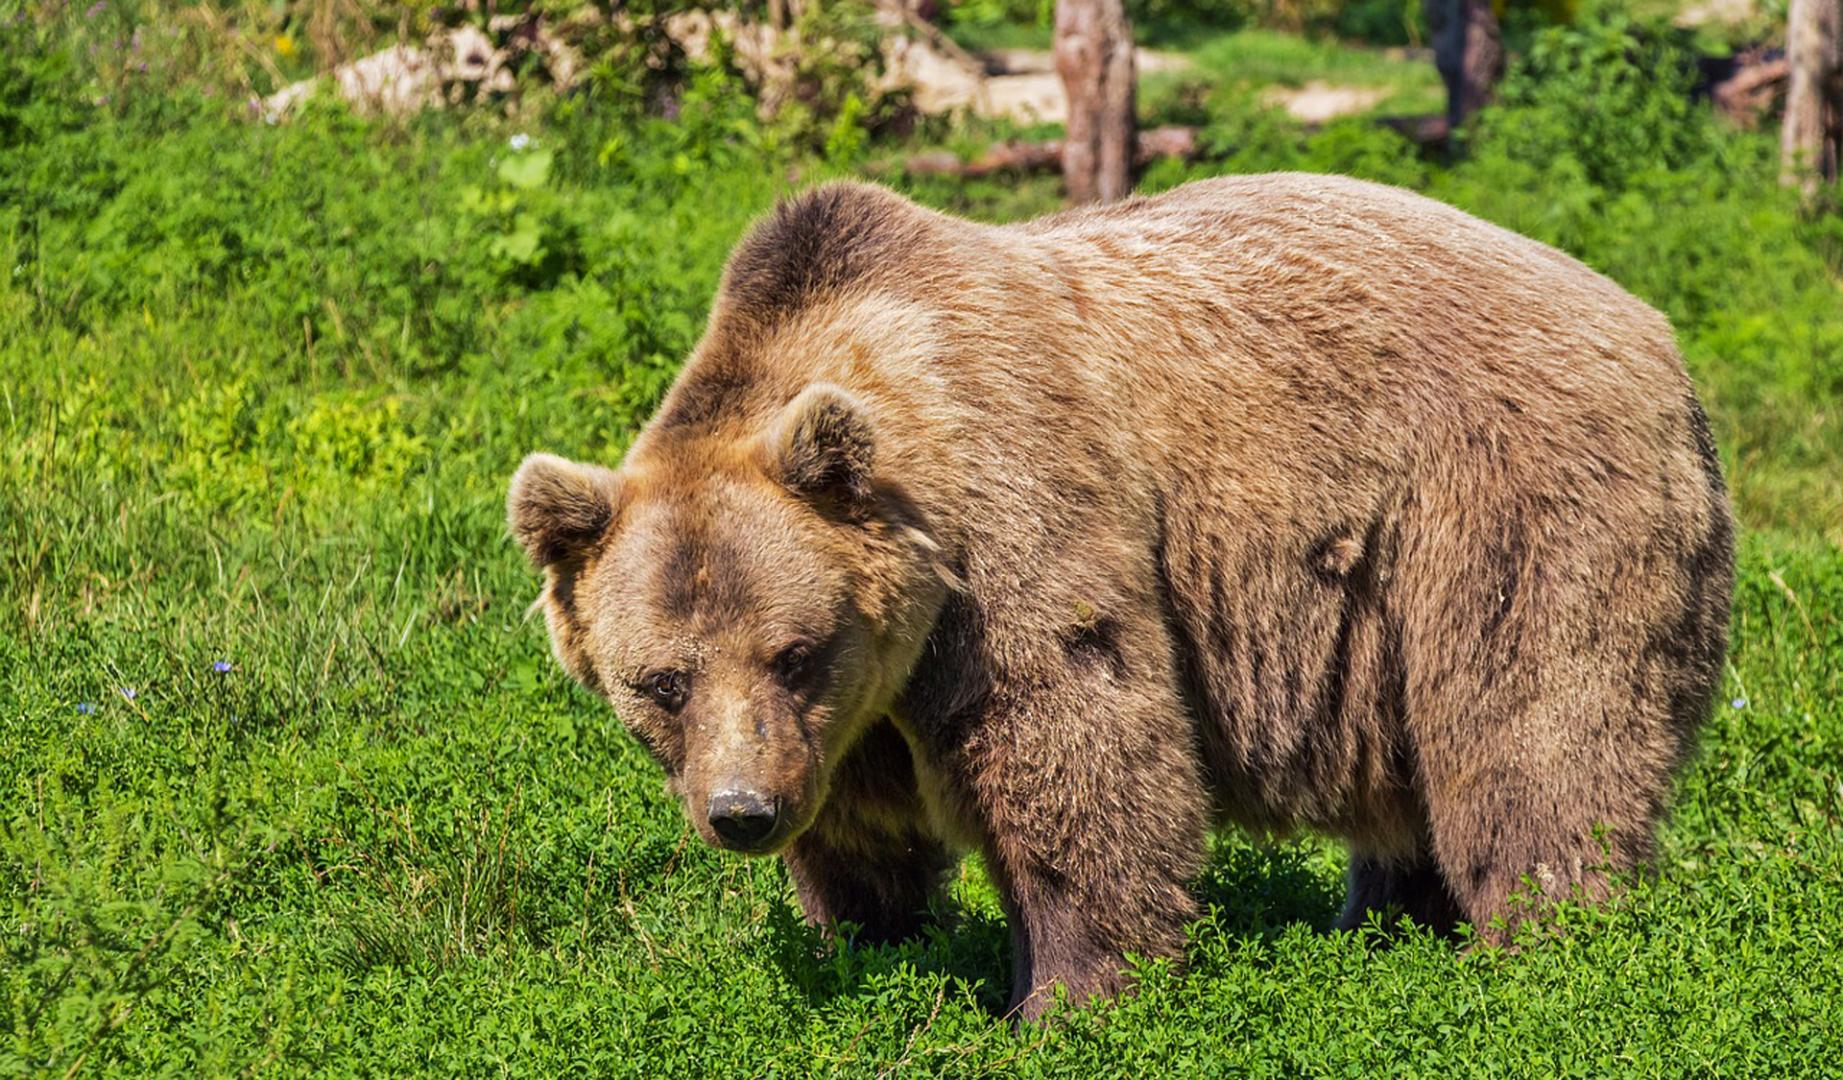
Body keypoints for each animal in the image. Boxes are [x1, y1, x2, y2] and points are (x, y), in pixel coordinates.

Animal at [508, 174, 1734, 1020]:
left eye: (793, 650)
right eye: (660, 682)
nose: (741, 813)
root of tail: (1657, 335)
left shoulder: (1009, 527)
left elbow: (1075, 742)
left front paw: (1065, 998)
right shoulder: (852, 710)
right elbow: (861, 831)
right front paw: (873, 943)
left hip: (1504, 507)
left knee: (1532, 733)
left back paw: (1545, 944)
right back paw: (1384, 928)